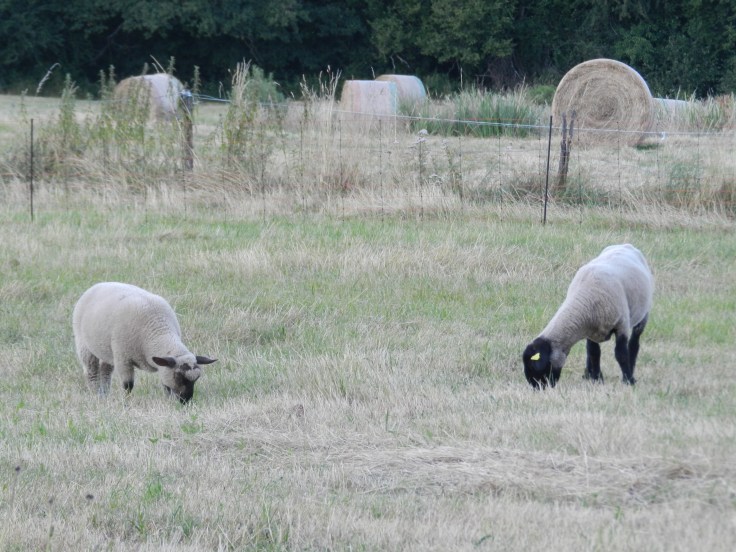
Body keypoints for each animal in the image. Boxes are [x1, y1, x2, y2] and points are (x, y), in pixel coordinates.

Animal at [72, 282, 216, 403]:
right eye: (178, 376)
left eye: (196, 379)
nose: (185, 401)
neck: (158, 331)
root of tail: (99, 284)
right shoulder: (123, 359)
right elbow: (128, 385)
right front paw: (126, 402)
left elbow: (165, 385)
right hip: (84, 345)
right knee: (91, 372)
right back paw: (96, 394)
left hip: (106, 351)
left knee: (105, 371)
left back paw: (105, 393)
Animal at [522, 244, 653, 389]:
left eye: (536, 367)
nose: (537, 388)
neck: (584, 299)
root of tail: (625, 245)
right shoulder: (591, 329)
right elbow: (593, 353)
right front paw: (596, 378)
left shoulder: (622, 324)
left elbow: (621, 354)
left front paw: (628, 380)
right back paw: (587, 374)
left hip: (643, 314)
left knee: (634, 343)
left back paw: (631, 369)